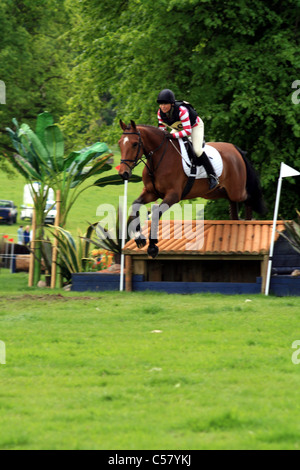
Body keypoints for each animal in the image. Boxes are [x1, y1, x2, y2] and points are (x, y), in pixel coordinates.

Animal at [118, 119, 266, 258]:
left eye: (134, 144)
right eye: (120, 144)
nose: (123, 173)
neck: (158, 159)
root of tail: (235, 149)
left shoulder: (173, 195)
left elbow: (155, 213)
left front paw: (152, 247)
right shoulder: (151, 192)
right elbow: (135, 205)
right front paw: (138, 238)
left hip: (237, 190)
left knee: (249, 198)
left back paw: (249, 222)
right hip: (217, 192)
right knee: (233, 203)